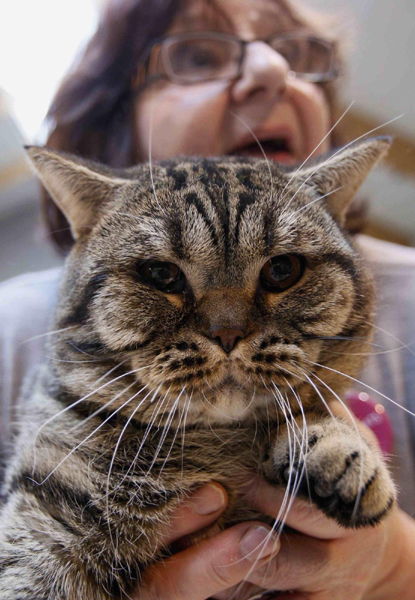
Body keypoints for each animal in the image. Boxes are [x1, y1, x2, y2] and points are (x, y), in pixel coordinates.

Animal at [0, 138, 396, 596]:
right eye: (160, 273)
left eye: (282, 269)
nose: (227, 333)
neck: (212, 444)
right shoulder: (52, 512)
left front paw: (335, 443)